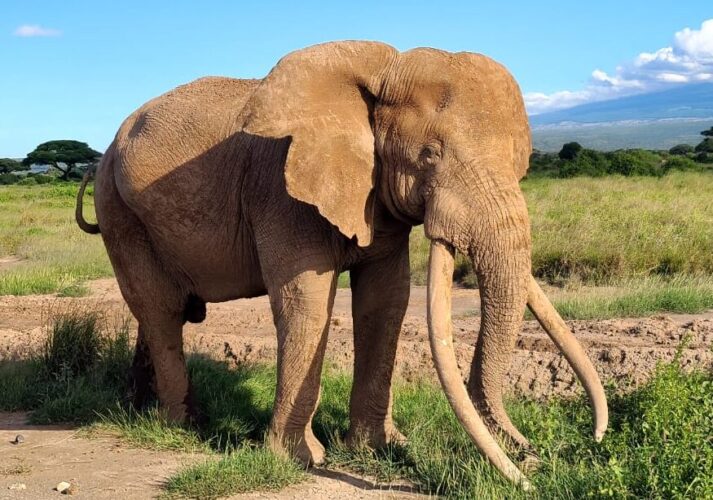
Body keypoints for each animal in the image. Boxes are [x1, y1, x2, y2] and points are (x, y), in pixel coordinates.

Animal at [76, 41, 608, 487]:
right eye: (429, 155)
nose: (532, 456)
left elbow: (385, 302)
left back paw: (140, 407)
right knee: (162, 310)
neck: (381, 71)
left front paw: (380, 449)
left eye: (521, 162)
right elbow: (306, 304)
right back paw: (182, 424)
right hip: (119, 211)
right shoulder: (281, 188)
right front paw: (301, 460)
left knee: (157, 313)